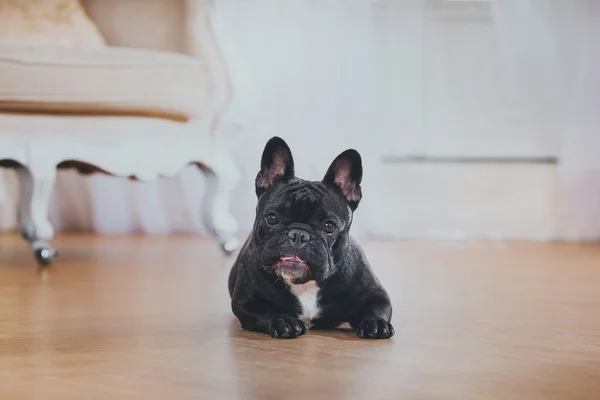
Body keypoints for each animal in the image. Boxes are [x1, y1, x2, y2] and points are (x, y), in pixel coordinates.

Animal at [229, 137, 394, 338]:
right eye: (272, 218)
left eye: (329, 227)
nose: (299, 234)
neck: (305, 284)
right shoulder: (245, 303)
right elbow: (267, 310)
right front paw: (284, 321)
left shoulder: (377, 295)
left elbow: (375, 307)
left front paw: (375, 323)